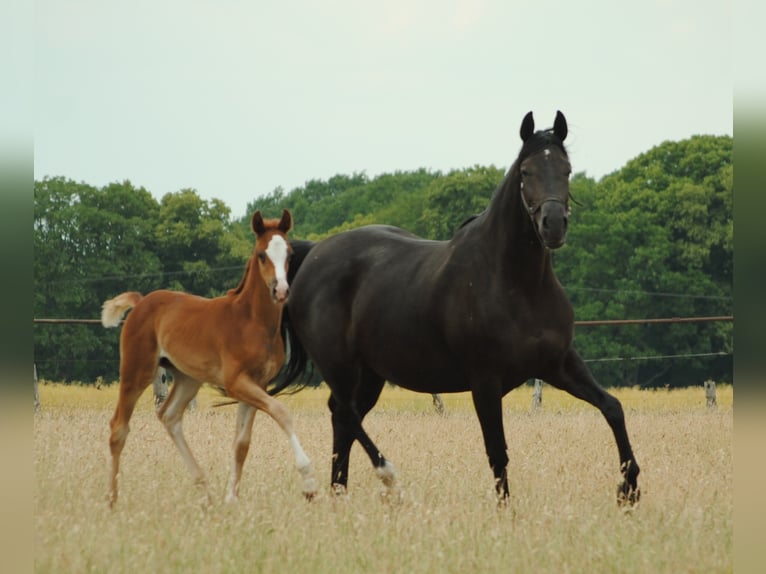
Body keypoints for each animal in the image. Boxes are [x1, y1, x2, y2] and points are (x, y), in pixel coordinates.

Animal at [276, 112, 640, 508]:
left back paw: (339, 494)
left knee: (343, 419)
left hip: (370, 373)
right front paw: (504, 511)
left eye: (567, 169)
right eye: (526, 171)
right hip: (340, 366)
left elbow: (612, 407)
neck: (517, 284)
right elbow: (497, 450)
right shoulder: (485, 380)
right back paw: (385, 477)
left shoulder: (559, 364)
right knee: (345, 413)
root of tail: (313, 254)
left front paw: (629, 488)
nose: (553, 225)